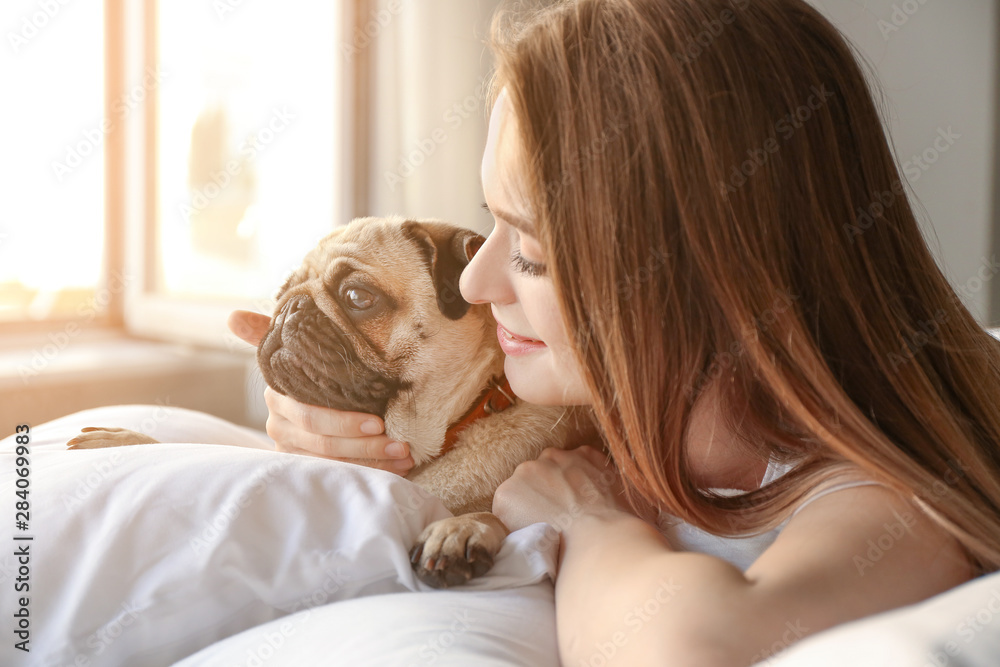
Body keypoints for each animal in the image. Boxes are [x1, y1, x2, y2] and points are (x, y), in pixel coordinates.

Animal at [72, 217, 600, 588]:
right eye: (281, 294)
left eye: (357, 296)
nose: (288, 310)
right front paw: (127, 439)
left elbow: (498, 514)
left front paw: (461, 528)